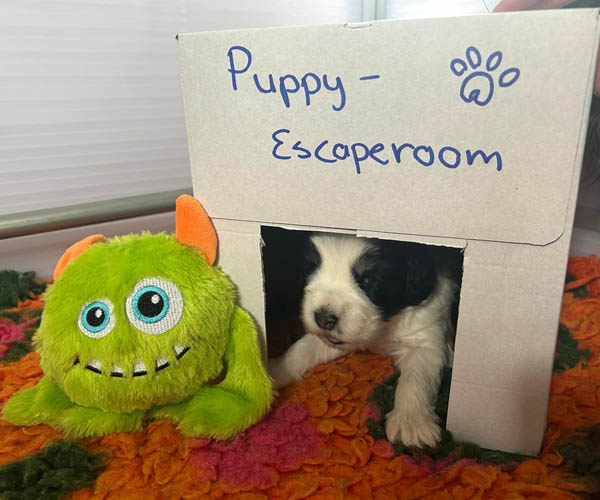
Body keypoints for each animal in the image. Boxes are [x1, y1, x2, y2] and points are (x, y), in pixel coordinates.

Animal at [268, 232, 459, 447]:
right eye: (310, 269)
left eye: (369, 279)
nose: (324, 319)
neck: (384, 326)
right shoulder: (343, 336)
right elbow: (303, 348)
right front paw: (274, 370)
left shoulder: (426, 336)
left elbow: (416, 377)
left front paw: (410, 422)